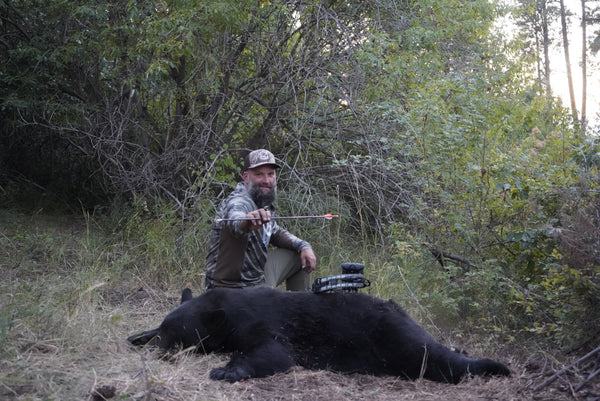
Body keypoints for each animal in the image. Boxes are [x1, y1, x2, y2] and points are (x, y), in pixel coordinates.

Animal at [127, 286, 510, 382]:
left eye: (174, 332)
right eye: (165, 327)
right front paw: (137, 335)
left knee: (433, 357)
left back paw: (494, 366)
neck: (226, 308)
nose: (158, 346)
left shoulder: (266, 323)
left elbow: (273, 353)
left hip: (394, 337)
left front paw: (226, 370)